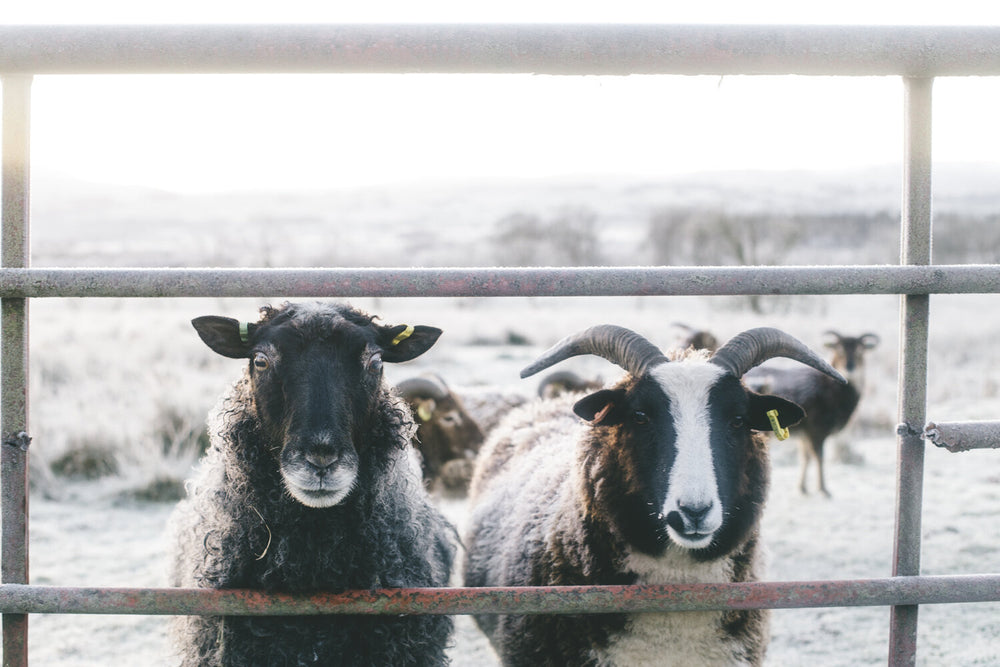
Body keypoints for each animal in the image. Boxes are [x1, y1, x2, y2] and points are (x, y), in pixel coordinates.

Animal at [748, 330, 880, 496]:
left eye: (859, 351)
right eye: (839, 350)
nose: (849, 367)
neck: (834, 393)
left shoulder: (804, 433)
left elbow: (806, 457)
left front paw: (803, 488)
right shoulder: (817, 428)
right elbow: (819, 457)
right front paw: (824, 490)